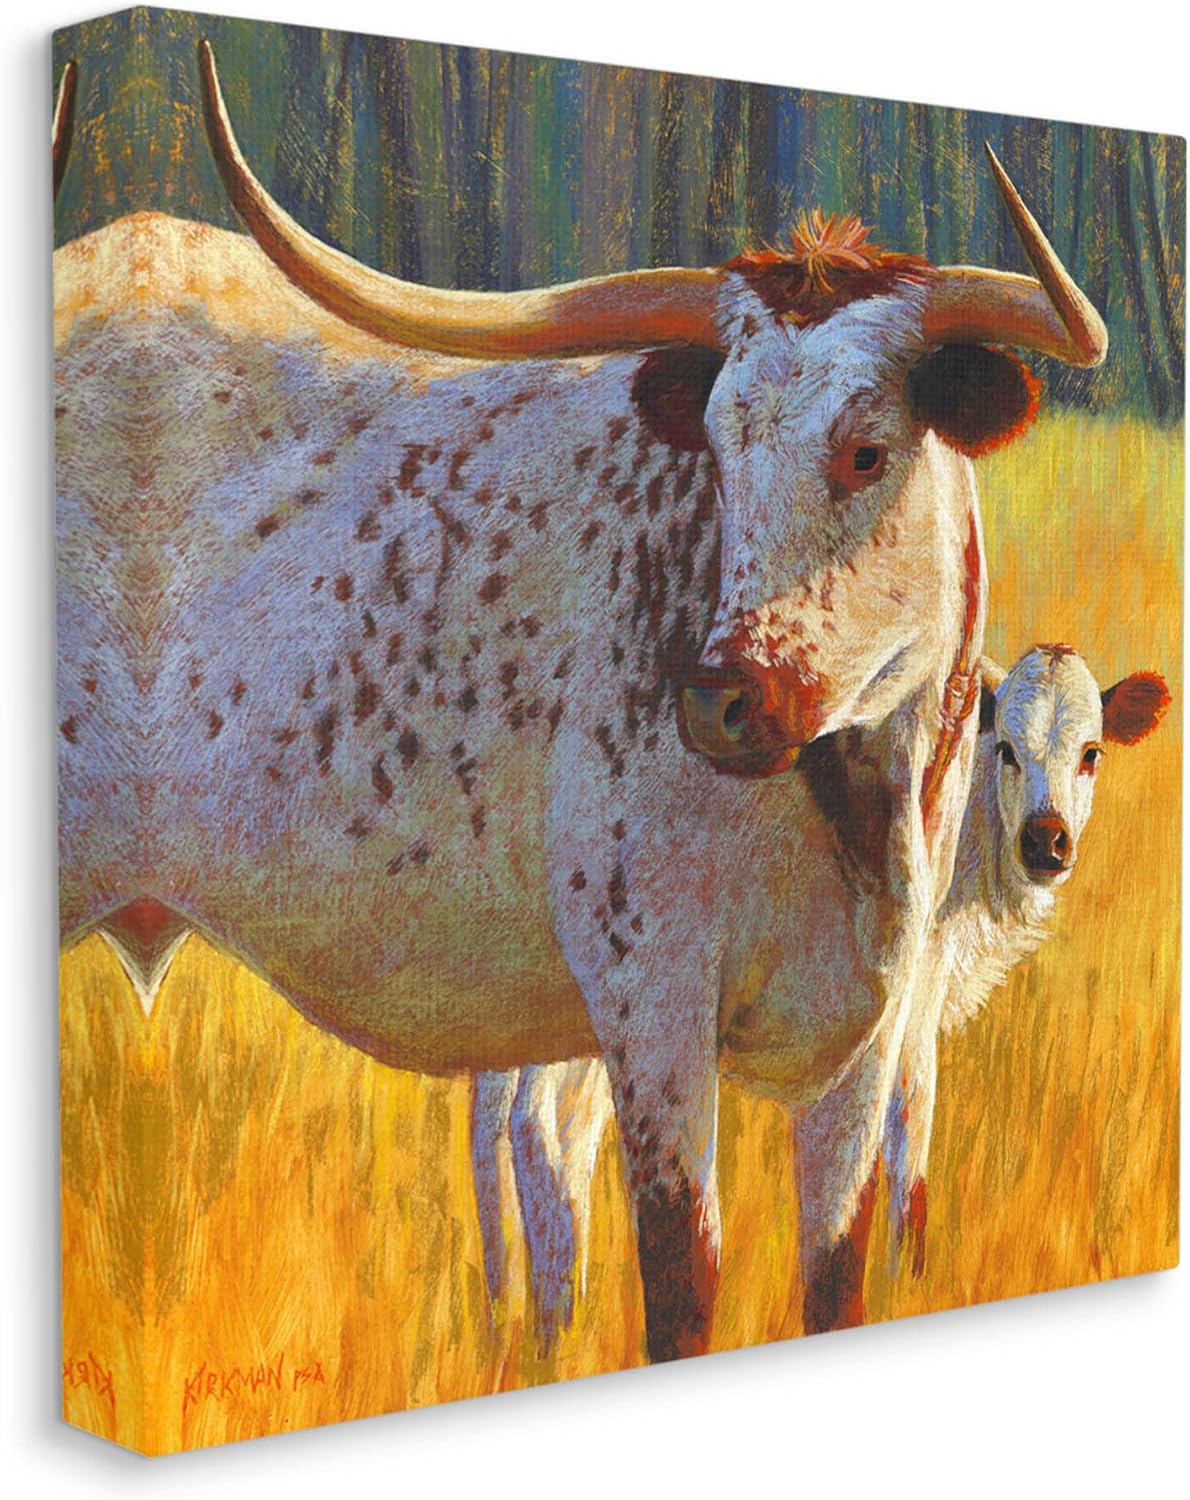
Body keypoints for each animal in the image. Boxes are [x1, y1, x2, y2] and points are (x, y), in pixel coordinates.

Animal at [53, 39, 1107, 1363]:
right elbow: (679, 1281)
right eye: (715, 449)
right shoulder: (648, 1006)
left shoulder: (867, 1042)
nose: (716, 704)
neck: (857, 803)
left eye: (865, 450)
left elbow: (835, 1277)